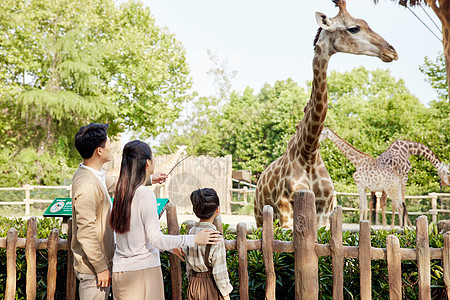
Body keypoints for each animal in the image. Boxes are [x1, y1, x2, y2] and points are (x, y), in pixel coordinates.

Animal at [253, 0, 398, 229]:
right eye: (354, 28)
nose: (391, 51)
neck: (309, 152)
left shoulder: (325, 211)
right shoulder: (285, 209)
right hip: (261, 216)